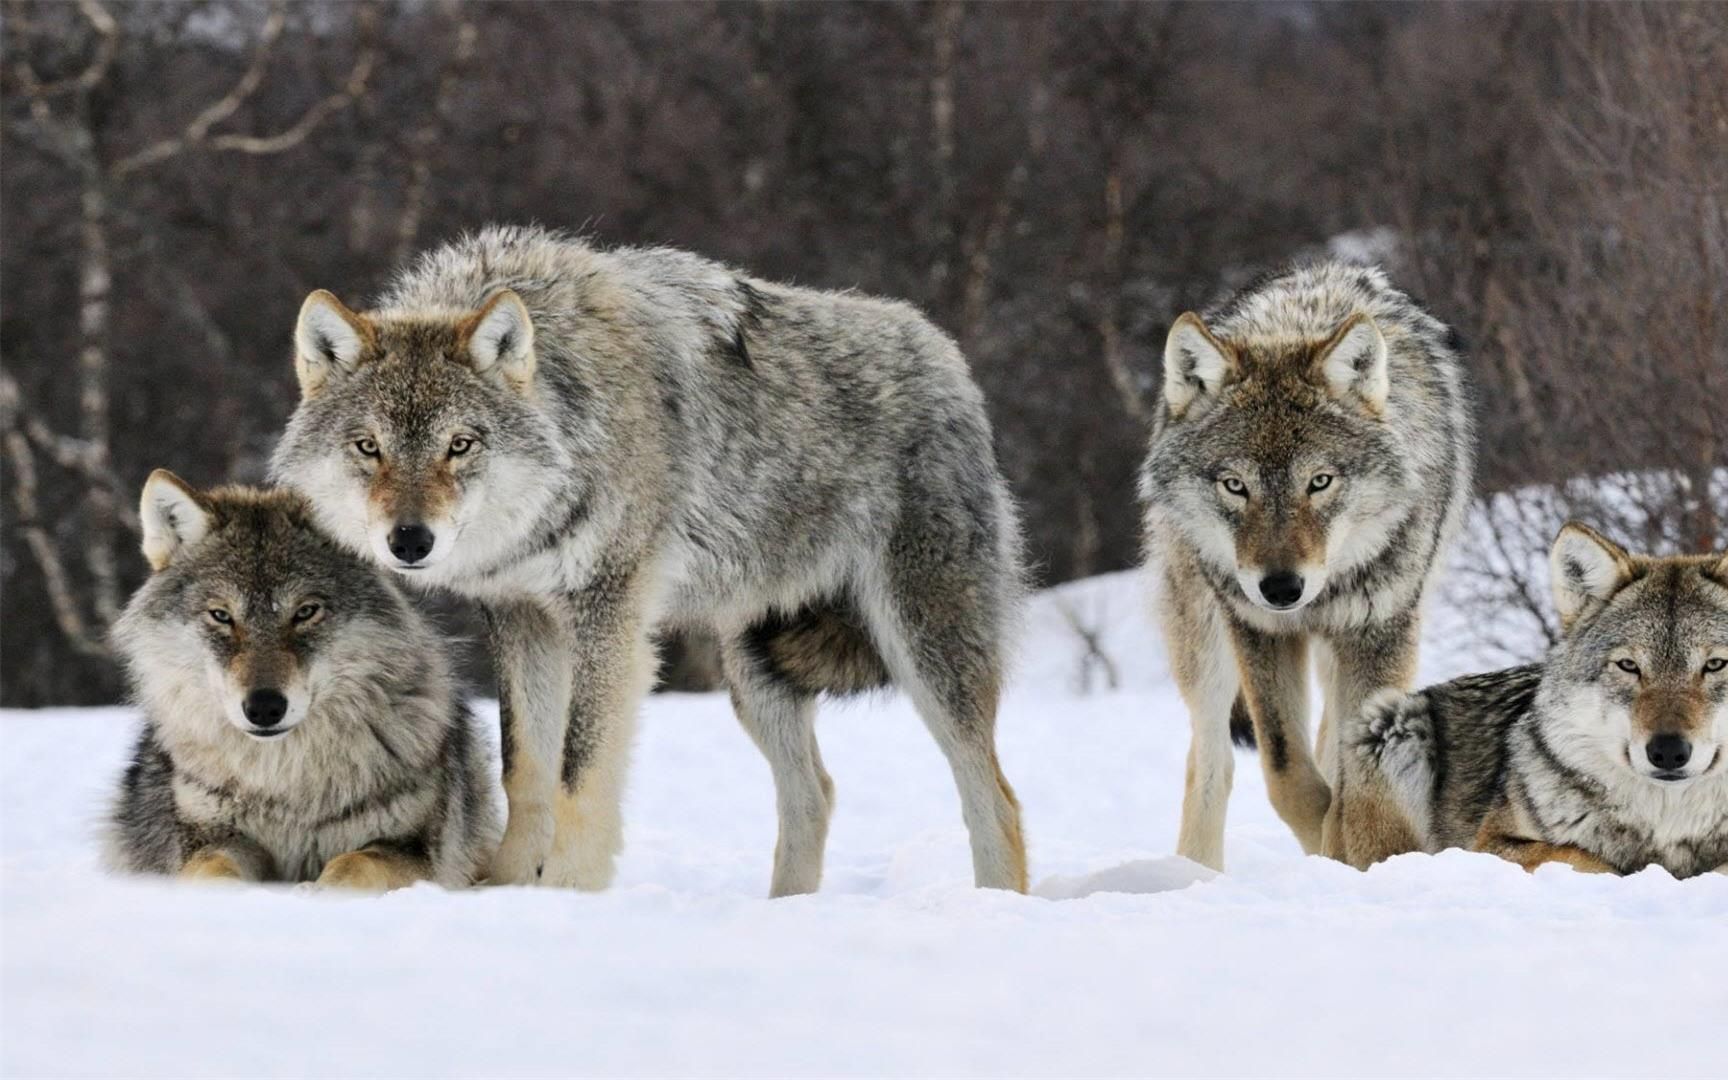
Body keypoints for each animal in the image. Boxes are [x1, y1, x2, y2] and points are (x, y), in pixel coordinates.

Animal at [106, 470, 501, 884]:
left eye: (306, 612)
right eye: (221, 616)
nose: (264, 707)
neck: (286, 784)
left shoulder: (410, 847)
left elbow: (353, 864)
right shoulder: (211, 838)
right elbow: (212, 870)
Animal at [269, 222, 1022, 891]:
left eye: (460, 445)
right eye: (369, 447)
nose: (409, 541)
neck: (573, 422)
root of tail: (946, 355)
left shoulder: (609, 613)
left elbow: (579, 771)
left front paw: (567, 892)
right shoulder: (522, 617)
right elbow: (525, 768)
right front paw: (508, 889)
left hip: (925, 652)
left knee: (996, 801)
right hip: (755, 673)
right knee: (816, 793)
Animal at [1334, 521, 1728, 877]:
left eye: (1715, 664)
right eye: (1629, 666)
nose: (1668, 752)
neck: (1668, 826)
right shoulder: (1490, 844)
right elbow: (1586, 859)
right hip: (1392, 721)